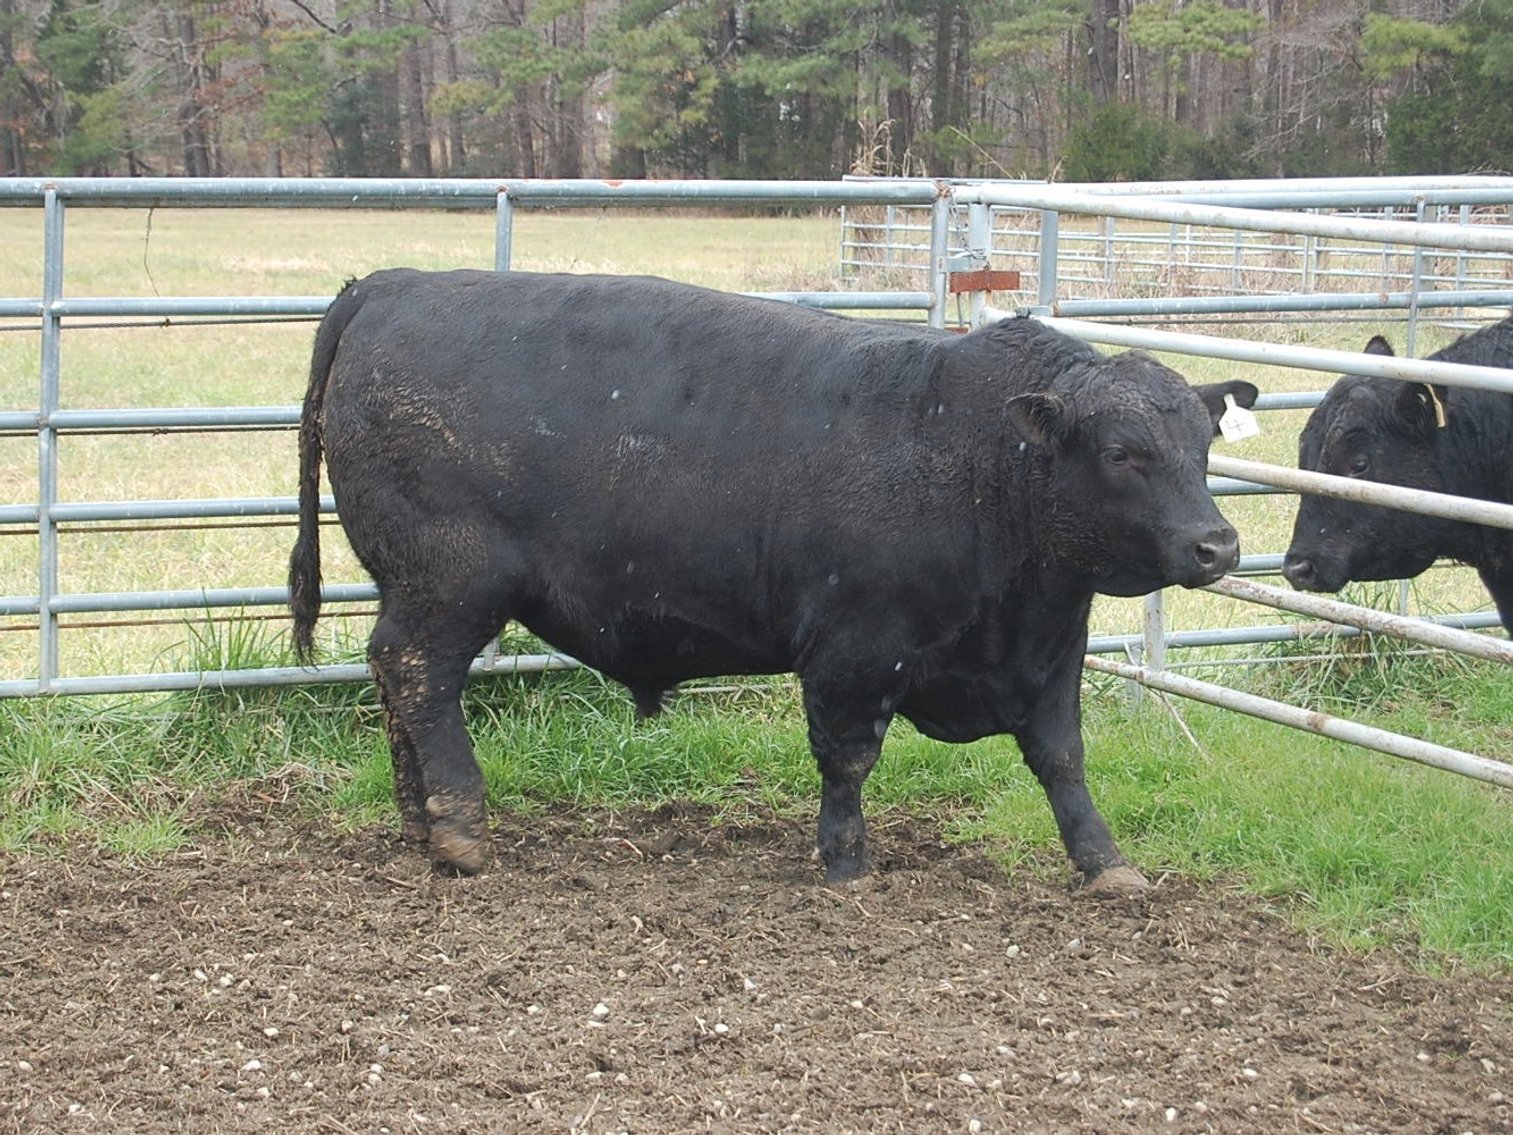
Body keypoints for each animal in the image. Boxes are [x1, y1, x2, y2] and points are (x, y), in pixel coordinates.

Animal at [289, 268, 1257, 890]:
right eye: (1121, 452)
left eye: (1201, 444)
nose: (1216, 545)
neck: (972, 456)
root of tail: (396, 283)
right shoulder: (855, 648)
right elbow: (849, 756)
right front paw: (846, 861)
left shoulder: (1051, 652)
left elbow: (1060, 758)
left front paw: (1105, 862)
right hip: (450, 586)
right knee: (421, 677)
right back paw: (459, 829)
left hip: (411, 586)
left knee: (390, 674)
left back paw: (418, 819)